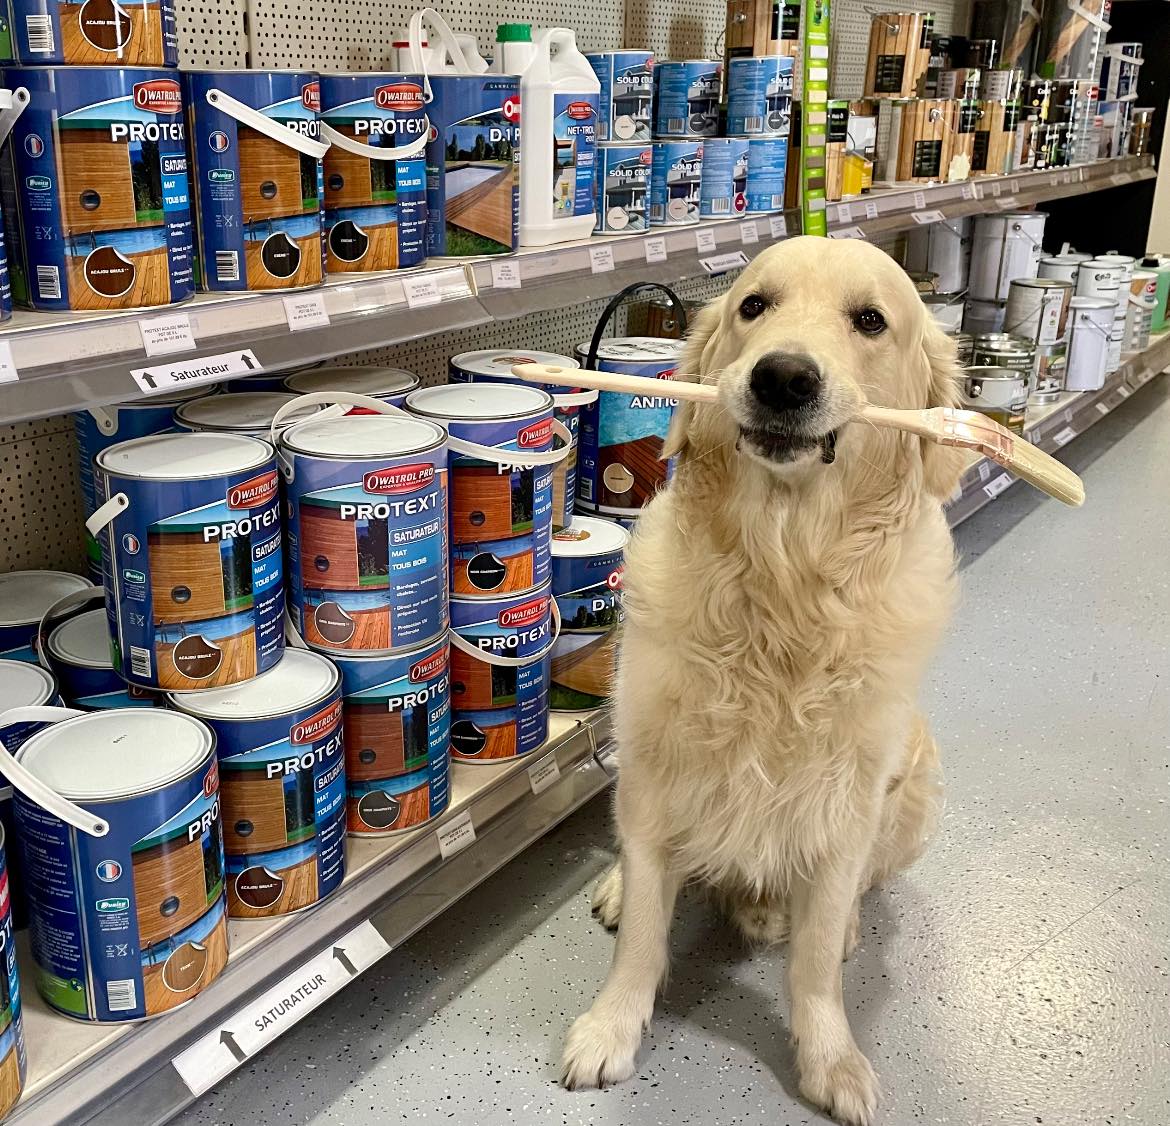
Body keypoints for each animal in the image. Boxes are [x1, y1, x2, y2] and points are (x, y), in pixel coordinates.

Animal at [560, 237, 967, 1125]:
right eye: (754, 306)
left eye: (871, 321)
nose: (783, 377)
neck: (782, 581)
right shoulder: (656, 764)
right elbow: (644, 930)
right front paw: (611, 1026)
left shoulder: (847, 796)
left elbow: (812, 965)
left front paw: (831, 1059)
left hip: (918, 779)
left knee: (849, 894)